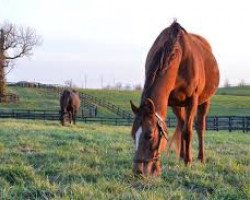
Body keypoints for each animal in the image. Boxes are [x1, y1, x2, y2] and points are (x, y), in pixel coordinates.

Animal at [130, 21, 220, 176]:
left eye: (149, 135)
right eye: (132, 135)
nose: (138, 171)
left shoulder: (192, 100)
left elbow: (188, 131)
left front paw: (188, 162)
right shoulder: (171, 102)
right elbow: (180, 128)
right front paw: (182, 158)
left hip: (204, 102)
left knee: (200, 127)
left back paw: (200, 158)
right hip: (178, 104)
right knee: (183, 123)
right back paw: (182, 155)